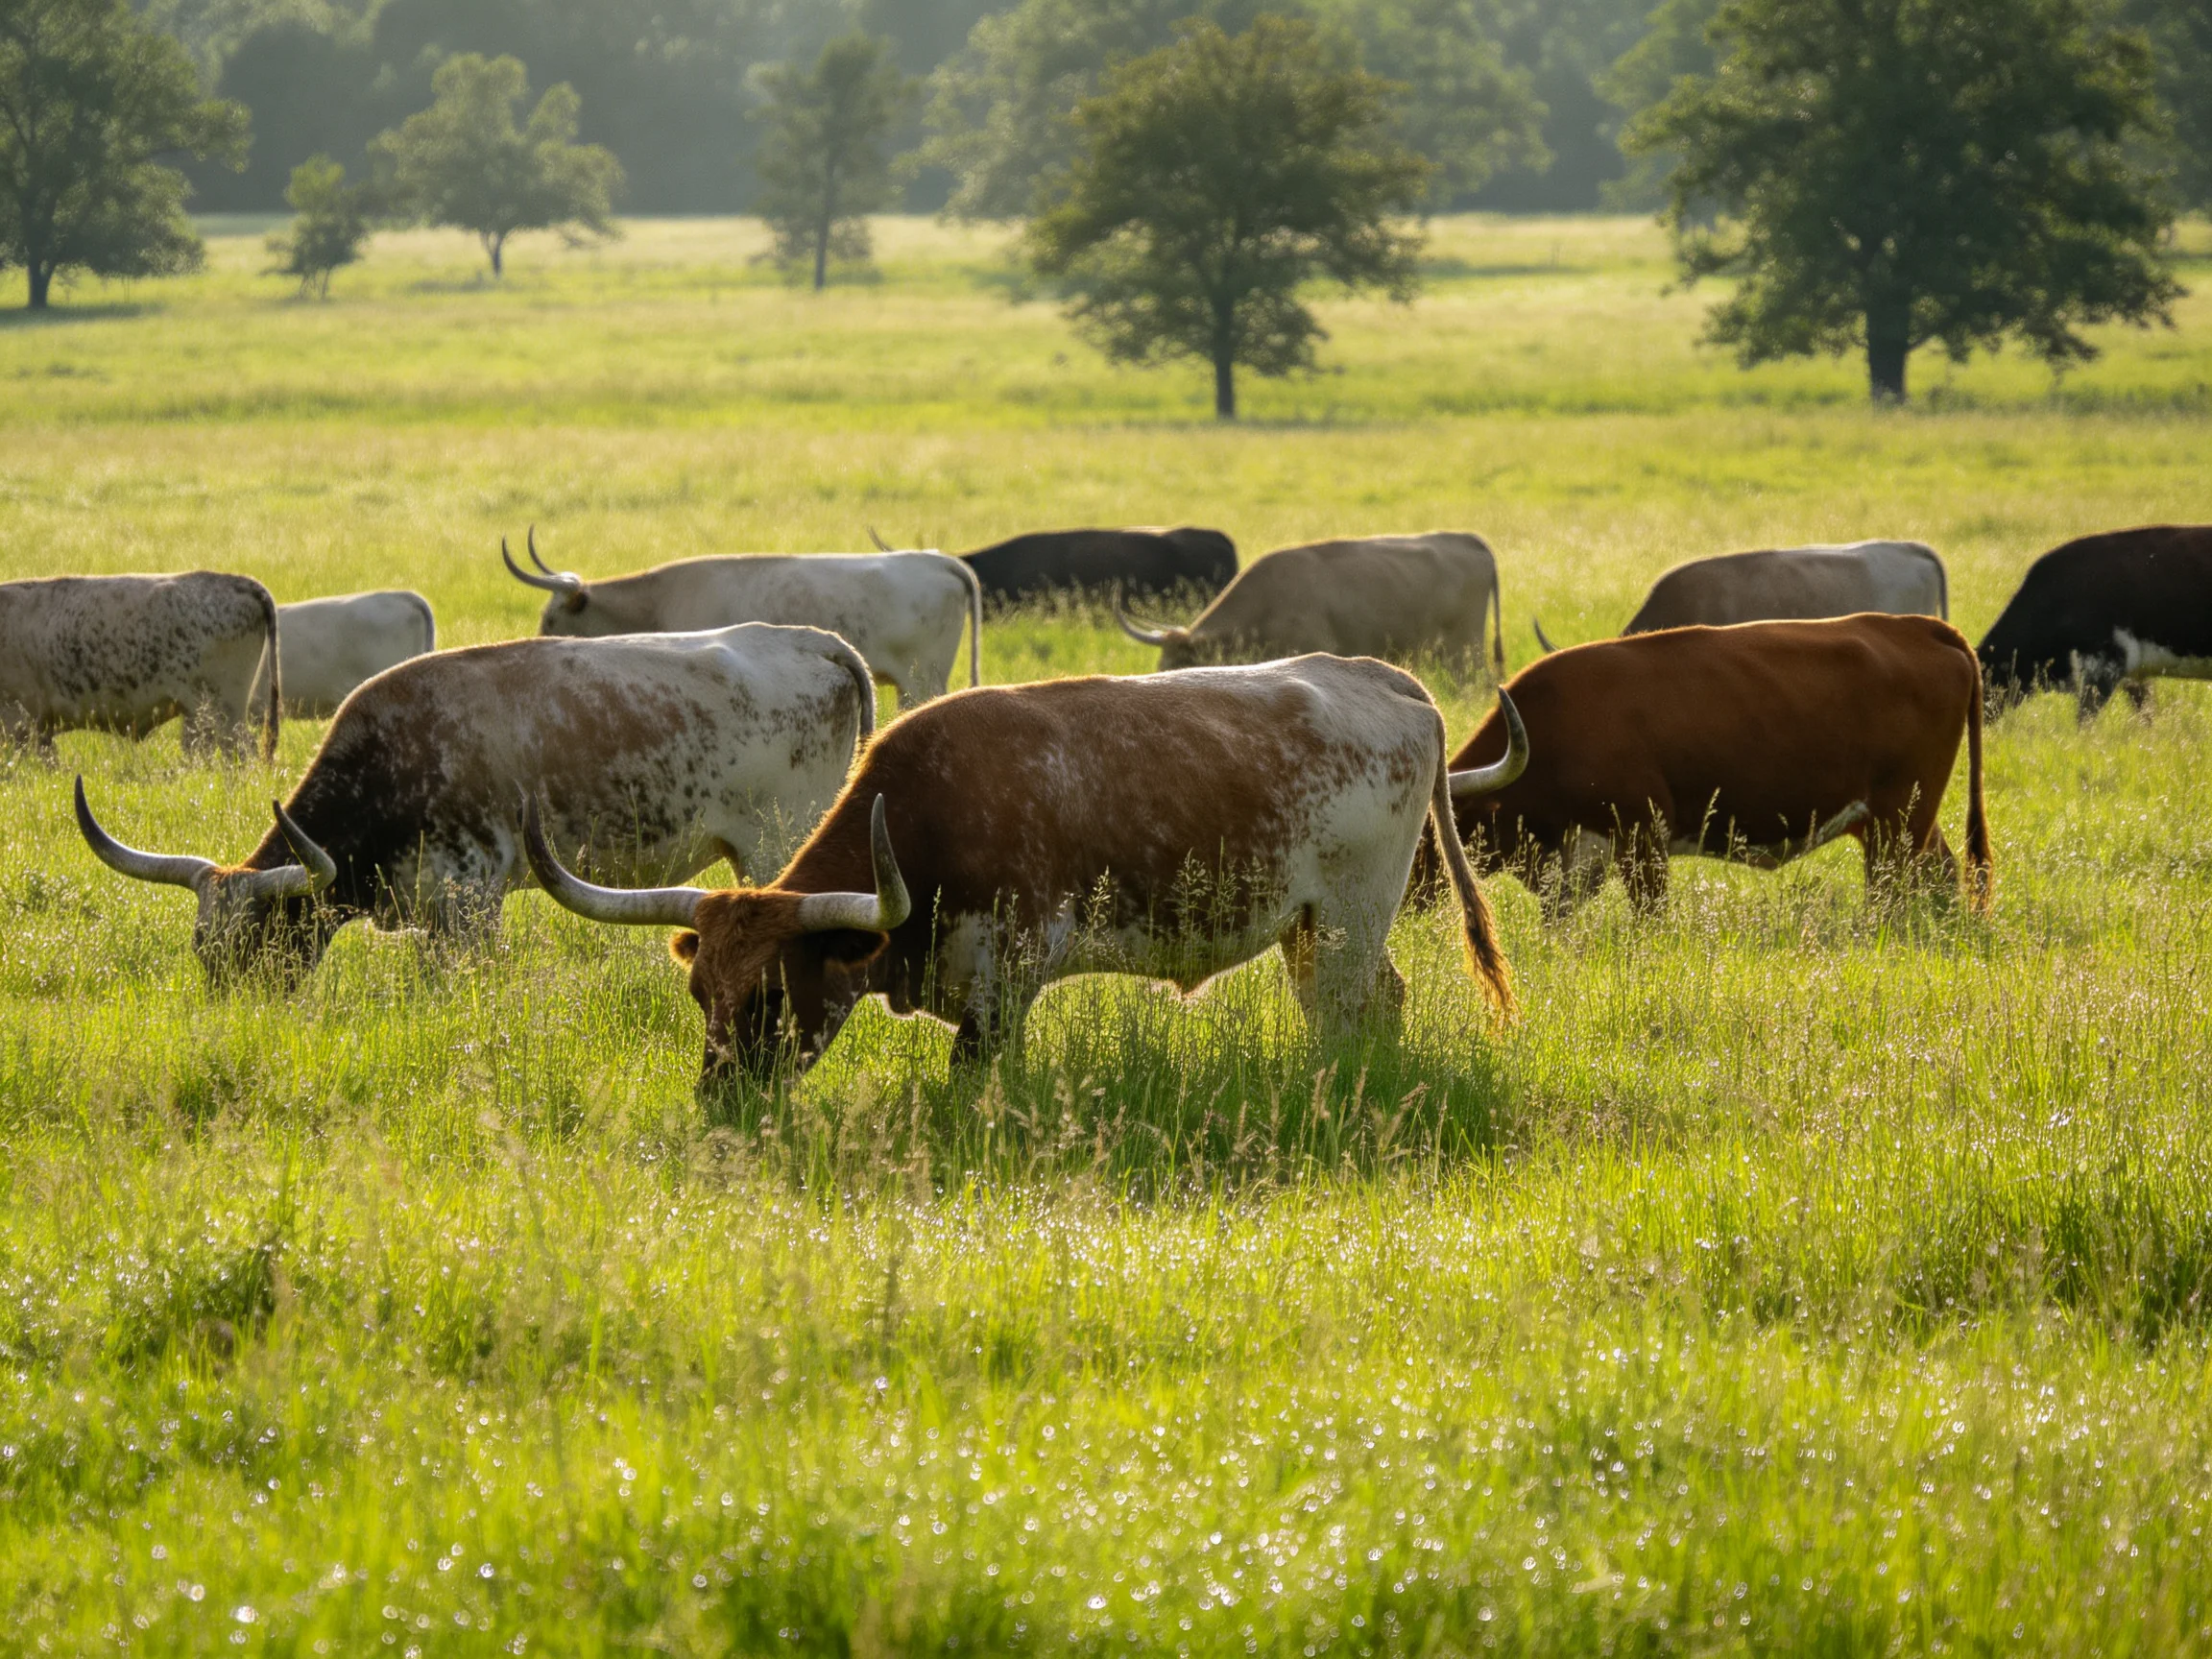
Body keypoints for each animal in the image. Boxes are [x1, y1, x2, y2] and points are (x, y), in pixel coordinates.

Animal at [0, 572, 280, 759]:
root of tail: (240, 582)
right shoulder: (39, 730)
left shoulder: (18, 721)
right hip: (201, 713)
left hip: (224, 710)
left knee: (242, 751)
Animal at [74, 625, 876, 985]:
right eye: (205, 952)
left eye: (257, 947)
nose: (235, 1019)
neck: (396, 761)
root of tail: (810, 639)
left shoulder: (470, 905)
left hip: (780, 844)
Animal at [520, 656, 1531, 1083]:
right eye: (703, 996)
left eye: (772, 994)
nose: (720, 1105)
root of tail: (1379, 675)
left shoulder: (1006, 982)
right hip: (1311, 926)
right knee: (1356, 1008)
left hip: (1354, 913)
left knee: (1360, 1007)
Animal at [1436, 614, 1990, 921]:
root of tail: (1921, 627)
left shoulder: (1643, 838)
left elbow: (1651, 917)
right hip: (1903, 821)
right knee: (1942, 874)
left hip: (1897, 826)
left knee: (1893, 893)